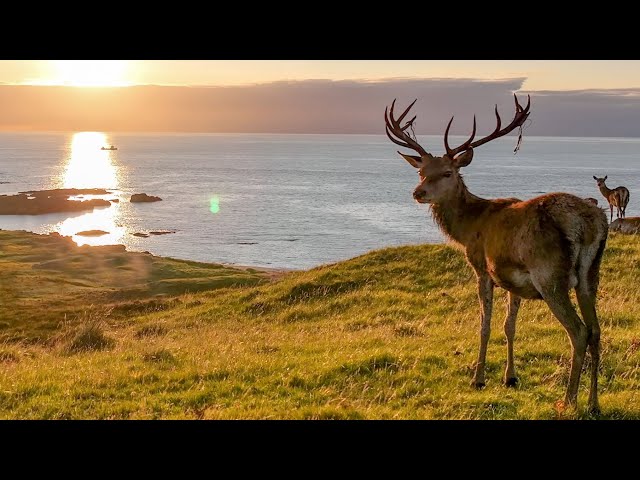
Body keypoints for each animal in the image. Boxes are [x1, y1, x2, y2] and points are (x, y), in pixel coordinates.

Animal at [388, 94, 608, 412]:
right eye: (421, 171)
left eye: (448, 172)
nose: (418, 193)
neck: (469, 227)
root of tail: (588, 222)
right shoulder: (514, 280)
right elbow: (509, 326)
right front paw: (510, 377)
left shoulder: (482, 267)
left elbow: (485, 325)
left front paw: (478, 379)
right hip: (590, 274)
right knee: (596, 330)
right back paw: (593, 403)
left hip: (550, 276)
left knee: (578, 331)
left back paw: (568, 401)